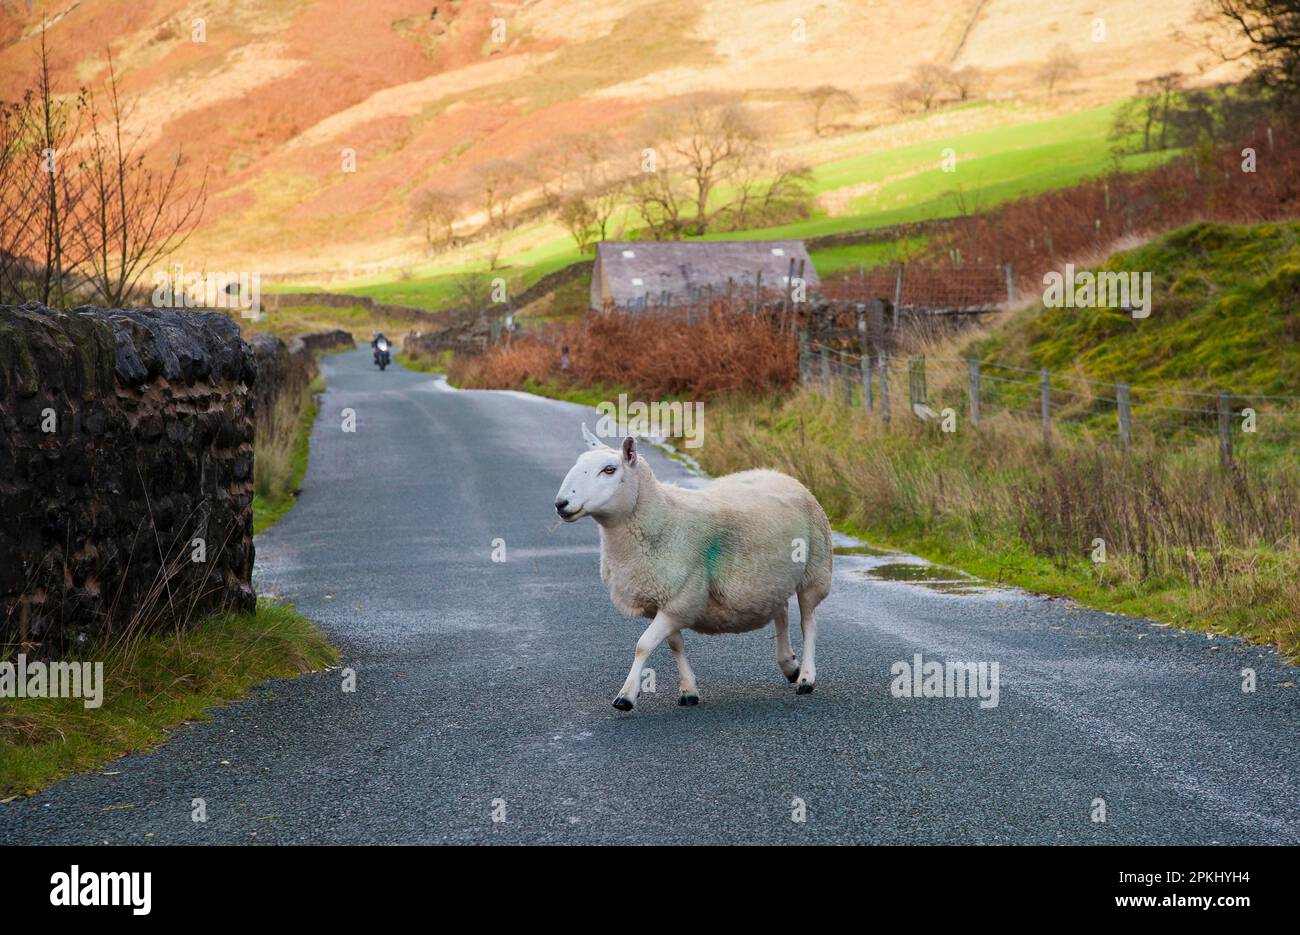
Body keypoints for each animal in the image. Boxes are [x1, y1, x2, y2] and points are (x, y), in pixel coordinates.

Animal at [553, 423, 826, 707]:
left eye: (609, 469)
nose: (561, 504)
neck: (662, 518)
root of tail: (780, 474)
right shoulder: (665, 600)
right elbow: (675, 645)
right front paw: (688, 690)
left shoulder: (680, 599)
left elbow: (643, 644)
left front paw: (626, 695)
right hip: (771, 580)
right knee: (781, 612)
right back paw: (789, 665)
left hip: (815, 571)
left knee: (808, 624)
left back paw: (806, 678)